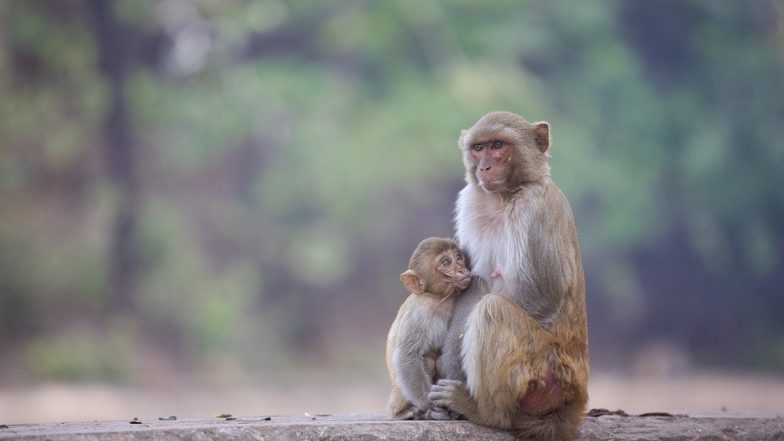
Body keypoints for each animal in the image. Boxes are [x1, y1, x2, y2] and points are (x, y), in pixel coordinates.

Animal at [386, 237, 472, 420]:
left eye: (458, 257)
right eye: (446, 262)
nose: (462, 270)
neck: (441, 298)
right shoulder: (419, 312)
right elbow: (407, 355)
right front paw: (430, 405)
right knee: (427, 359)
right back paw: (405, 412)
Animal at [428, 111, 589, 441]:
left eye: (498, 145)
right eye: (478, 148)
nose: (484, 167)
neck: (506, 197)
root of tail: (575, 396)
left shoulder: (538, 209)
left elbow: (544, 294)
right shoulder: (471, 201)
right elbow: (475, 286)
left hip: (546, 374)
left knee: (493, 310)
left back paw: (485, 411)